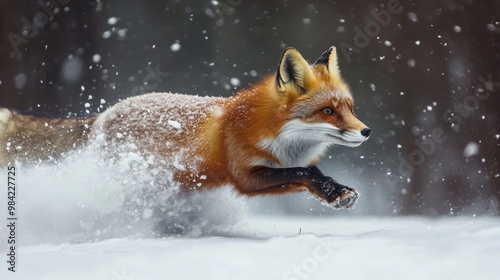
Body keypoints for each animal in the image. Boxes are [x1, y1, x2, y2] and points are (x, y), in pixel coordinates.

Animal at [1, 47, 372, 210]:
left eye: (351, 109)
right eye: (328, 111)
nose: (367, 132)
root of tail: (103, 115)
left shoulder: (278, 167)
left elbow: (311, 172)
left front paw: (336, 191)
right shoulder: (245, 176)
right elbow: (304, 172)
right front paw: (334, 191)